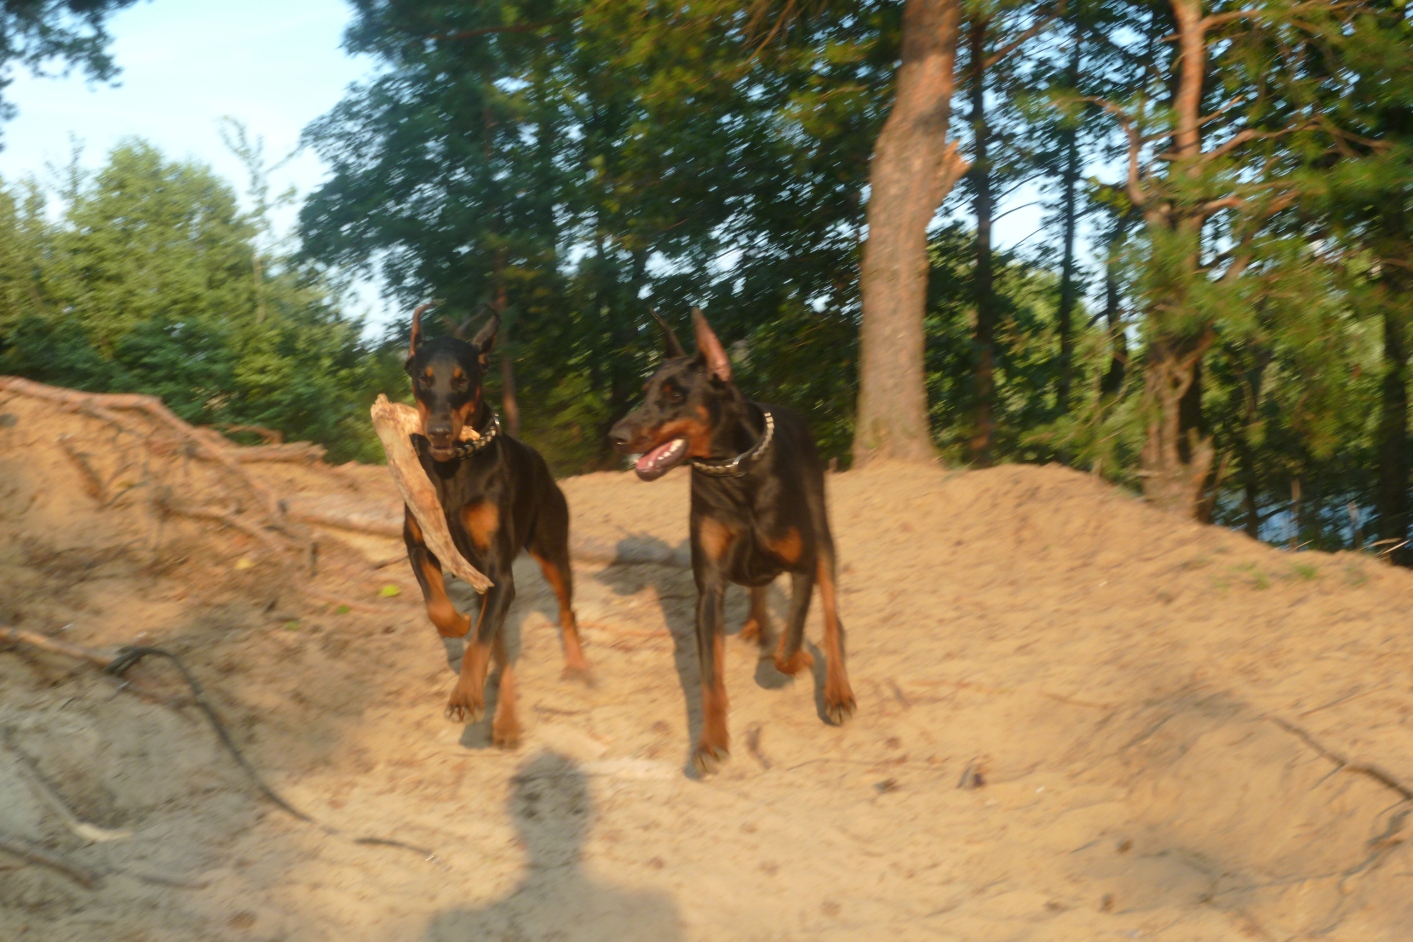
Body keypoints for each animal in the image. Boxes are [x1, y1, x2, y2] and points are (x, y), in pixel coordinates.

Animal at [403, 303, 588, 747]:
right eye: (423, 377)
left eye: (463, 379)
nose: (438, 431)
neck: (452, 470)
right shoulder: (419, 545)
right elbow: (438, 608)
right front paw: (457, 624)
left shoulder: (500, 574)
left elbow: (481, 642)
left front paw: (464, 697)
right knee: (500, 651)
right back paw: (504, 718)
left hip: (552, 552)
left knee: (565, 611)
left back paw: (576, 667)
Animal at [609, 308, 856, 773]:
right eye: (645, 391)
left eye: (674, 394)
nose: (616, 435)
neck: (735, 470)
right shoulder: (709, 589)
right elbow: (711, 677)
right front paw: (709, 742)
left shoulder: (802, 565)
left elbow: (790, 643)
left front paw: (799, 659)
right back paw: (758, 625)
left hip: (824, 539)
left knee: (833, 621)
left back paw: (837, 692)